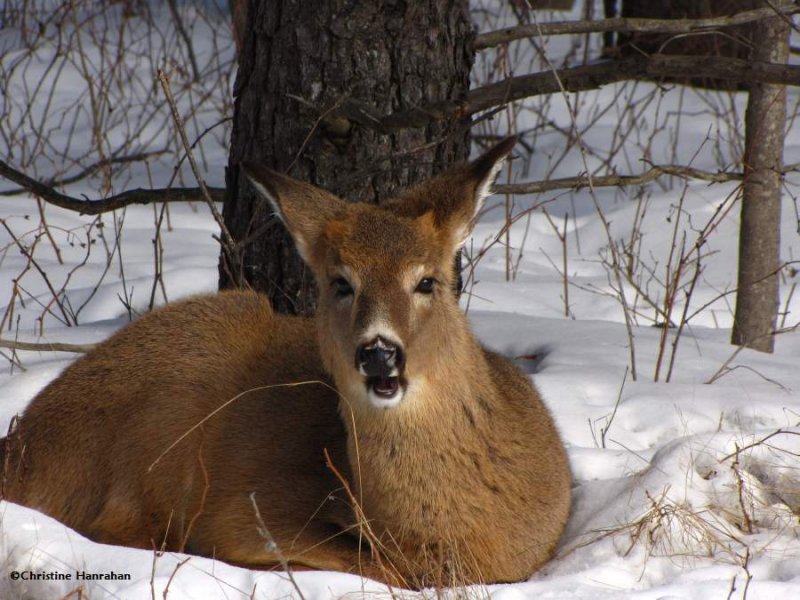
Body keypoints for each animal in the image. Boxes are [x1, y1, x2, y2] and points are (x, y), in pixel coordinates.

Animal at [3, 138, 572, 588]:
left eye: (427, 280)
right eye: (341, 282)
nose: (379, 352)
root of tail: (19, 446)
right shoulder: (250, 508)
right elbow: (364, 565)